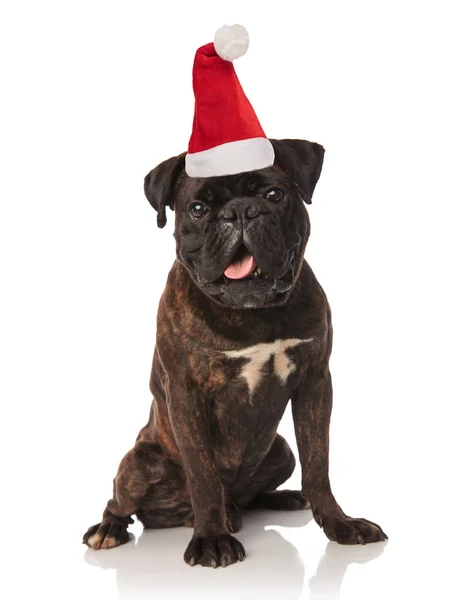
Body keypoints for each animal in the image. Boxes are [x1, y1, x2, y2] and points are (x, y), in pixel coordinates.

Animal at [82, 139, 388, 568]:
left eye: (274, 195)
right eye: (198, 208)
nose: (240, 211)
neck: (252, 312)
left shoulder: (315, 384)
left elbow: (318, 463)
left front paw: (339, 523)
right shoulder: (187, 396)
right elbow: (203, 476)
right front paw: (211, 539)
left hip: (280, 450)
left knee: (256, 491)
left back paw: (283, 499)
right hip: (137, 465)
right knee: (121, 503)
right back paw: (110, 529)